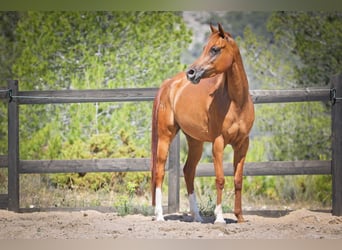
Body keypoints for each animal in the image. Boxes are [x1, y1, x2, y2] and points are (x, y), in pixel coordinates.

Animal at [150, 23, 254, 223]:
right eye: (205, 47)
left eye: (215, 49)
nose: (191, 73)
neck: (237, 102)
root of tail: (169, 84)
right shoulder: (218, 143)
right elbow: (220, 179)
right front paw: (219, 217)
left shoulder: (242, 144)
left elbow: (238, 180)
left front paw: (240, 217)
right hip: (165, 136)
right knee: (159, 171)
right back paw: (159, 215)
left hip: (195, 141)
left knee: (188, 171)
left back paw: (197, 216)